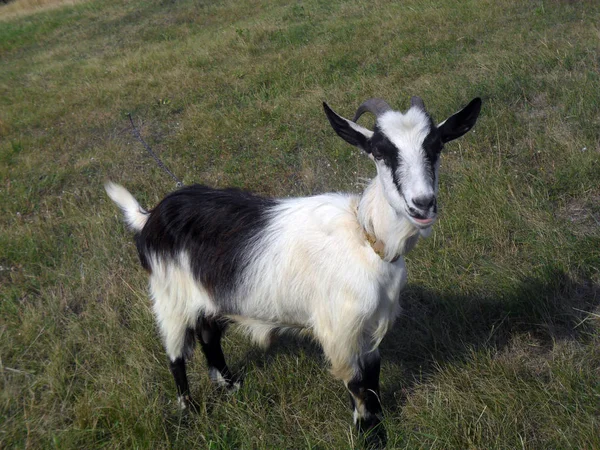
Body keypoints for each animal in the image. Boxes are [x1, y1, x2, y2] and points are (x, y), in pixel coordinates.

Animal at [105, 96, 482, 442]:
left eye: (436, 145)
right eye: (379, 151)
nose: (422, 204)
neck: (366, 237)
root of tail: (151, 216)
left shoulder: (371, 323)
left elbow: (373, 376)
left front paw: (378, 424)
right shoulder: (339, 328)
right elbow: (357, 384)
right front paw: (369, 435)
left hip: (210, 294)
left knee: (209, 335)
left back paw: (230, 385)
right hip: (168, 294)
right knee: (175, 353)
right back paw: (189, 409)